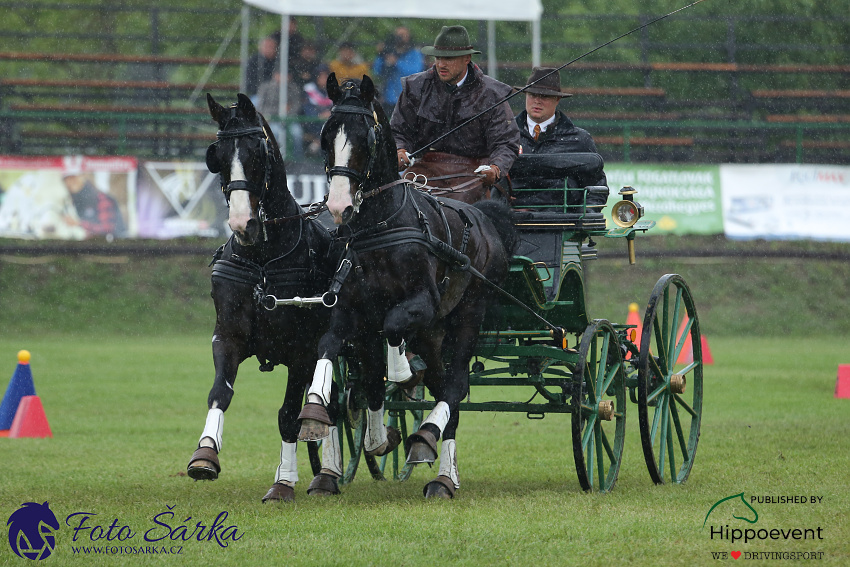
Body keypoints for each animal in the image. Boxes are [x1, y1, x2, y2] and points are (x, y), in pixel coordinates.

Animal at [187, 93, 340, 502]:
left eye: (259, 153)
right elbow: (219, 393)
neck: (263, 260)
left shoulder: (303, 350)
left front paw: (283, 482)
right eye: (218, 156)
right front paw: (205, 454)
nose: (244, 225)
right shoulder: (227, 337)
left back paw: (327, 472)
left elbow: (289, 415)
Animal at [298, 75, 516, 496]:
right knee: (444, 388)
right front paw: (324, 413)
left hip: (466, 315)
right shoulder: (351, 312)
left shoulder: (422, 305)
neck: (382, 229)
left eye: (366, 138)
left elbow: (393, 327)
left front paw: (400, 374)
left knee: (454, 385)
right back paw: (435, 459)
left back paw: (439, 464)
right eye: (326, 134)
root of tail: (484, 217)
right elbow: (338, 354)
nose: (338, 206)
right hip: (433, 335)